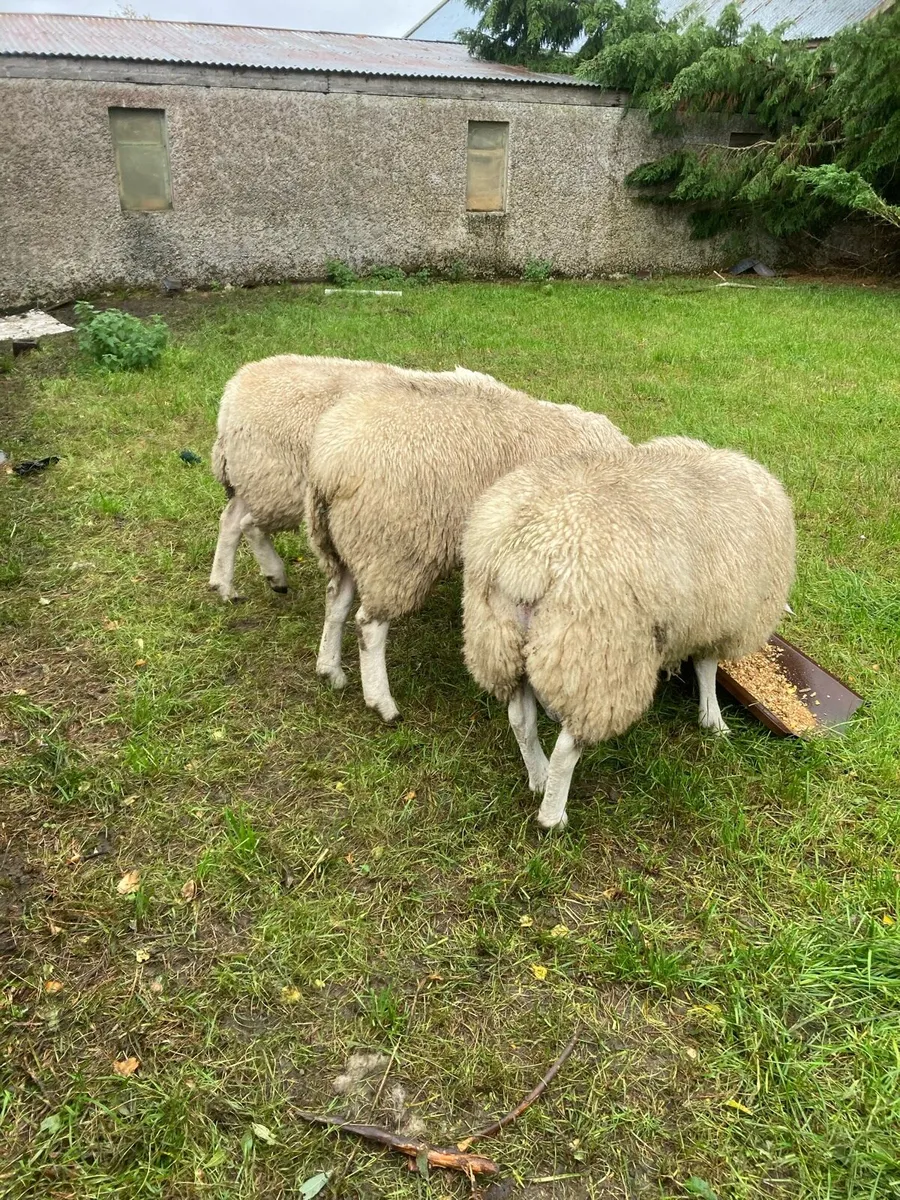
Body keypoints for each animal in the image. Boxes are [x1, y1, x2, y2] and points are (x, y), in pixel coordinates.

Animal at [208, 355, 493, 601]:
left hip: (254, 474)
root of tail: (233, 392)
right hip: (276, 482)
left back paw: (223, 585)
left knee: (230, 519)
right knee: (248, 524)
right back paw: (274, 576)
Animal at [305, 369, 629, 720]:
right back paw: (383, 702)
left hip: (344, 541)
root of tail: (330, 465)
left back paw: (330, 669)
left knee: (336, 599)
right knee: (368, 626)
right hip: (392, 550)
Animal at [461, 436, 796, 830]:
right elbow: (707, 668)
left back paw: (538, 776)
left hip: (501, 639)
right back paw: (553, 815)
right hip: (597, 656)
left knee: (520, 719)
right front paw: (713, 719)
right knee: (567, 749)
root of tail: (530, 555)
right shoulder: (720, 619)